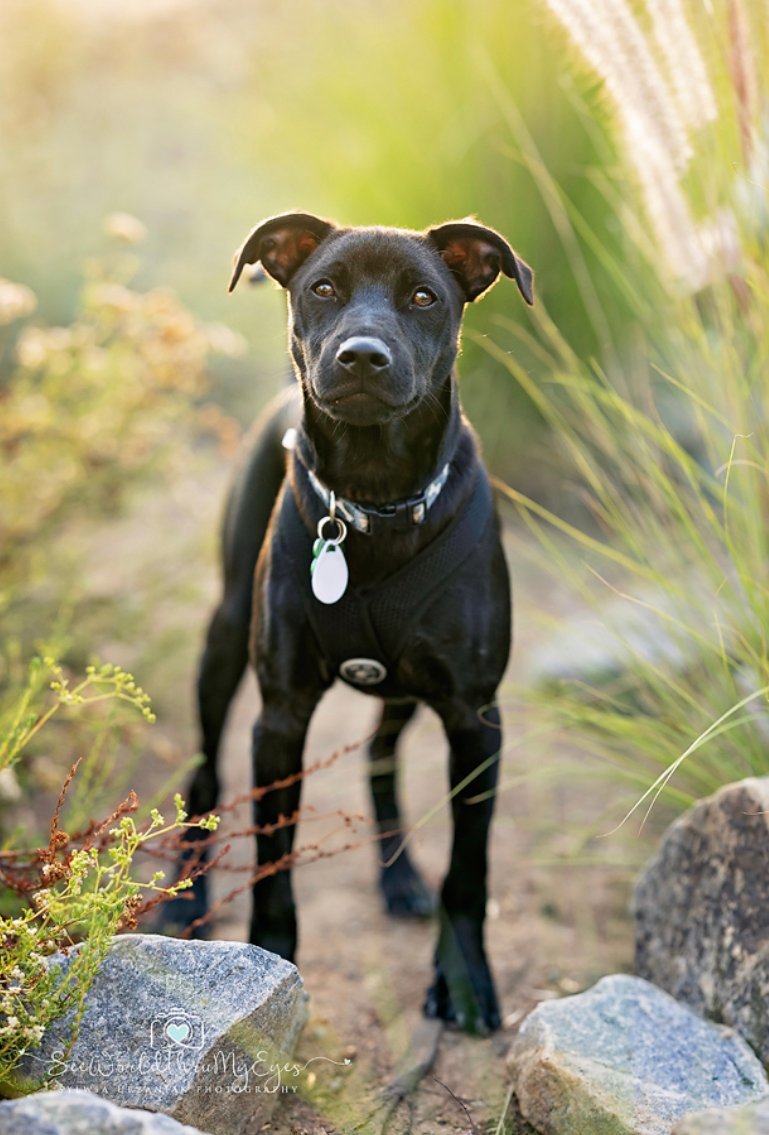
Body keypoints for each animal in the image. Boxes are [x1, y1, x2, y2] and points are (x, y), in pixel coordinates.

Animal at [178, 214, 533, 1039]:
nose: (362, 355)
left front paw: (464, 981)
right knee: (203, 773)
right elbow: (273, 863)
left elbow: (468, 872)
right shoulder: (278, 718)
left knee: (378, 756)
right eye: (323, 288)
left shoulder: (474, 717)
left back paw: (398, 877)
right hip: (223, 639)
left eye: (424, 296)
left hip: (403, 688)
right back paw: (188, 895)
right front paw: (271, 961)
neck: (373, 500)